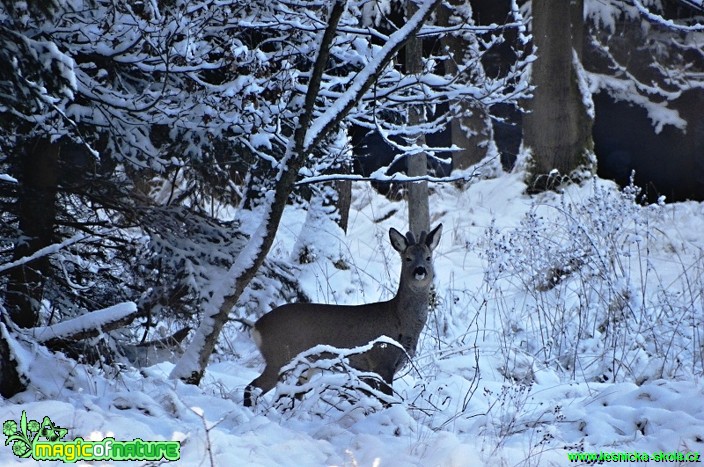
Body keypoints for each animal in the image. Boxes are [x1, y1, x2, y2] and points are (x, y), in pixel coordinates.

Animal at [242, 223, 440, 406]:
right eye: (408, 258)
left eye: (428, 257)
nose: (420, 270)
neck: (400, 320)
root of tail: (257, 326)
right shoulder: (381, 362)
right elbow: (387, 403)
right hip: (280, 357)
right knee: (252, 387)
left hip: (304, 366)